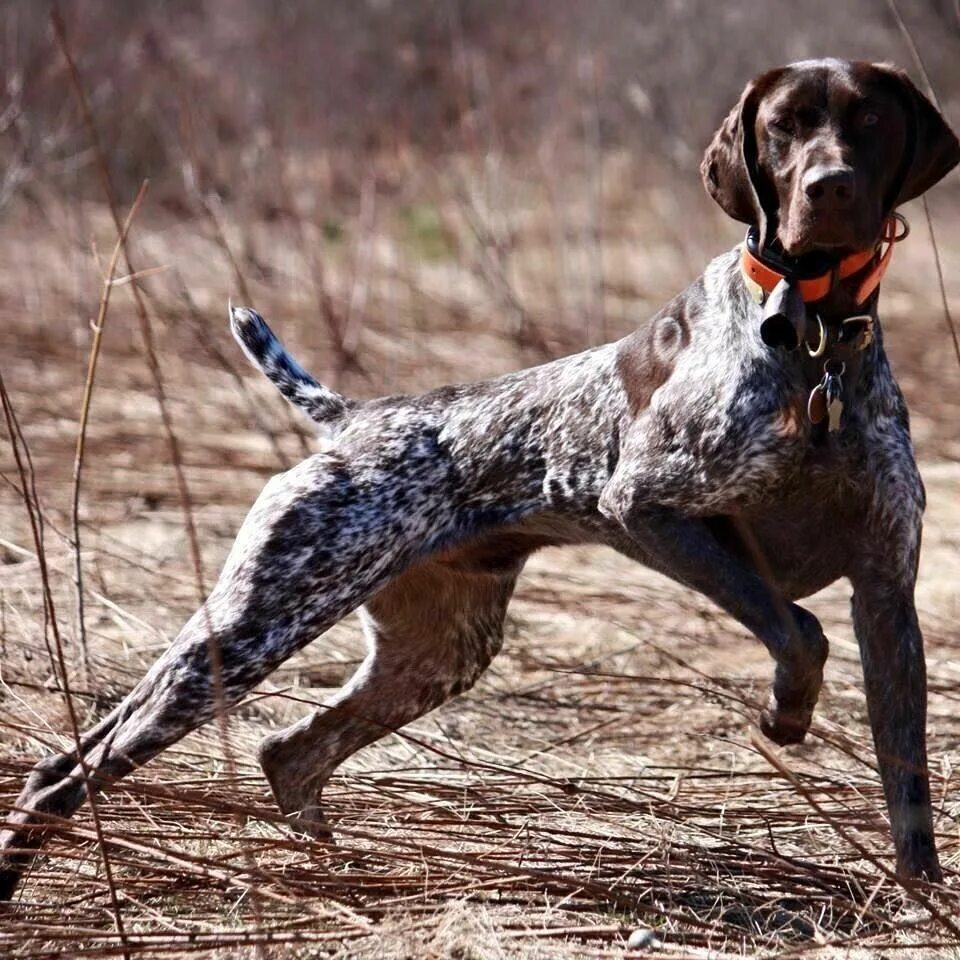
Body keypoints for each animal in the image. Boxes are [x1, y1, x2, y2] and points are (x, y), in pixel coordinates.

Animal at [0, 60, 956, 900]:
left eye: (869, 120)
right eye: (784, 126)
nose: (829, 189)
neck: (818, 339)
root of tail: (354, 417)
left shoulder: (886, 592)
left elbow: (907, 785)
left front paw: (920, 903)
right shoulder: (645, 505)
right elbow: (796, 629)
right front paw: (785, 714)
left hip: (435, 653)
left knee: (288, 755)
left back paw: (346, 878)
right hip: (253, 628)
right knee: (63, 772)